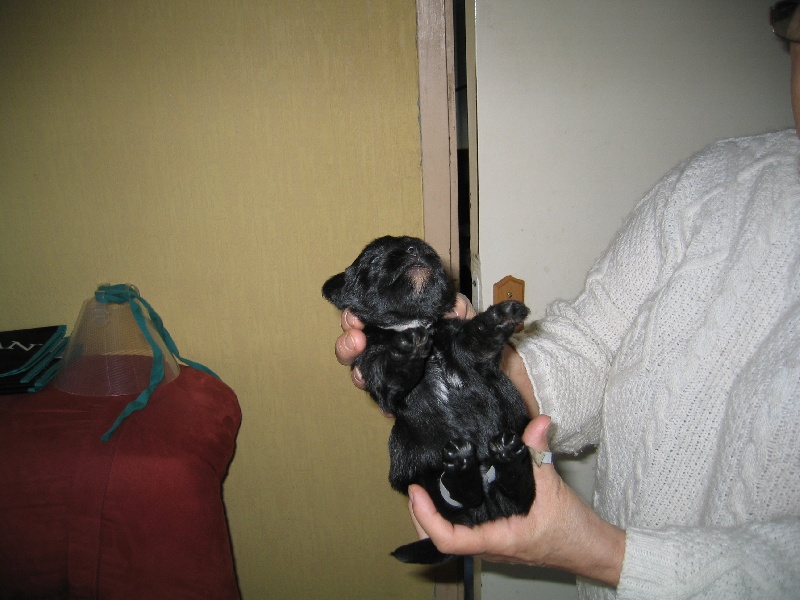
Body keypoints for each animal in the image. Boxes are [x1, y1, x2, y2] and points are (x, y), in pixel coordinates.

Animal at [322, 235, 534, 564]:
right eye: (373, 260)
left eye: (422, 247)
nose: (414, 250)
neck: (414, 322)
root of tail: (488, 511)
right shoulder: (377, 372)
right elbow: (390, 369)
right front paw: (405, 349)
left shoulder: (468, 348)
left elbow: (476, 334)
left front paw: (500, 316)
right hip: (409, 459)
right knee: (461, 495)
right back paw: (462, 468)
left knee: (520, 493)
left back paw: (504, 458)